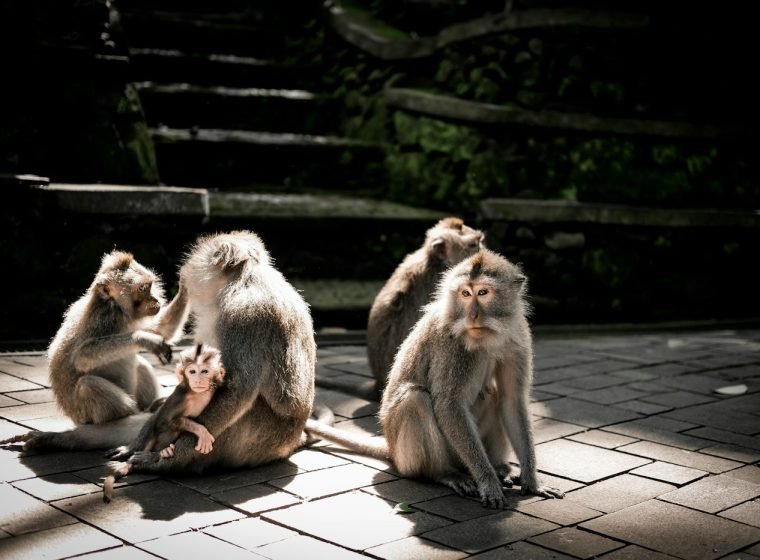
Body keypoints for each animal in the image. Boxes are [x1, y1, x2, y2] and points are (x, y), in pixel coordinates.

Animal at [47, 250, 189, 425]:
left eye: (149, 286)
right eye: (142, 289)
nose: (155, 300)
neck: (118, 308)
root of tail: (75, 419)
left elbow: (162, 329)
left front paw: (186, 285)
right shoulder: (105, 317)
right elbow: (82, 356)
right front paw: (143, 339)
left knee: (140, 364)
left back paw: (153, 406)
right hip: (85, 415)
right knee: (87, 385)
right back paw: (135, 414)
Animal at [102, 343, 225, 502]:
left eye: (204, 371)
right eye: (192, 371)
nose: (198, 379)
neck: (198, 394)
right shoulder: (180, 396)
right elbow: (165, 419)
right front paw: (201, 431)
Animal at [305, 249, 564, 508]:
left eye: (483, 292)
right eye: (465, 293)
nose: (472, 315)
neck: (488, 337)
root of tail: (391, 447)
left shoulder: (518, 339)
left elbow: (512, 400)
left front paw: (532, 481)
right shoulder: (452, 346)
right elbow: (449, 405)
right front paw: (488, 481)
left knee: (494, 394)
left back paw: (500, 467)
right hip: (413, 455)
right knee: (416, 398)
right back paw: (443, 473)